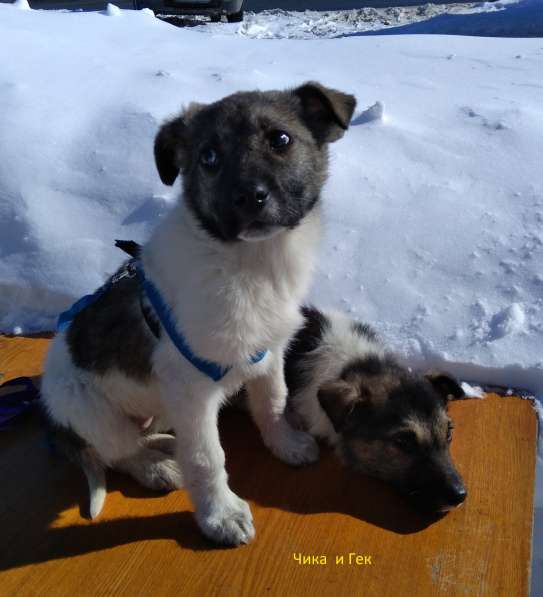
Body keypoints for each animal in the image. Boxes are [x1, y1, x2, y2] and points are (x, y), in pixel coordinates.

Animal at [42, 82, 356, 544]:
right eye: (208, 157)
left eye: (280, 139)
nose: (249, 197)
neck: (249, 262)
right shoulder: (189, 388)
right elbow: (208, 456)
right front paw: (219, 516)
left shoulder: (269, 353)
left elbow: (273, 403)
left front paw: (286, 443)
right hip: (88, 408)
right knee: (118, 451)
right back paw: (156, 466)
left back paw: (162, 445)